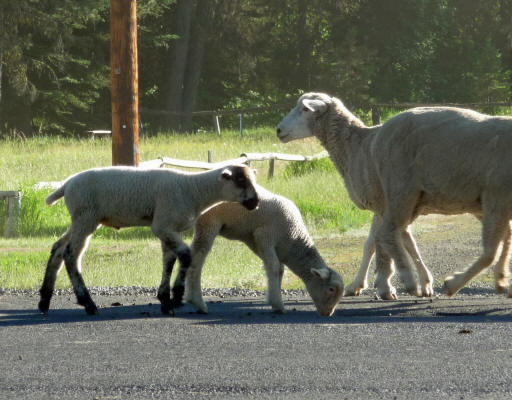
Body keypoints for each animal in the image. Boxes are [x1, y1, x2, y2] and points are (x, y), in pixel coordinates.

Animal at [184, 184, 344, 316]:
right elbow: (273, 267)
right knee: (198, 258)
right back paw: (197, 302)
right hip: (208, 222)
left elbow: (280, 269)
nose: (328, 314)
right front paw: (277, 304)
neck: (293, 237)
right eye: (331, 289)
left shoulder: (255, 240)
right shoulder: (265, 237)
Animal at [278, 93, 512, 300]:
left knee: (389, 234)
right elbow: (385, 242)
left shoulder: (384, 204)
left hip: (407, 190)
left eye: (304, 109)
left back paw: (411, 280)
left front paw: (386, 283)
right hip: (407, 194)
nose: (278, 130)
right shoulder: (384, 205)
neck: (357, 147)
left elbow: (381, 243)